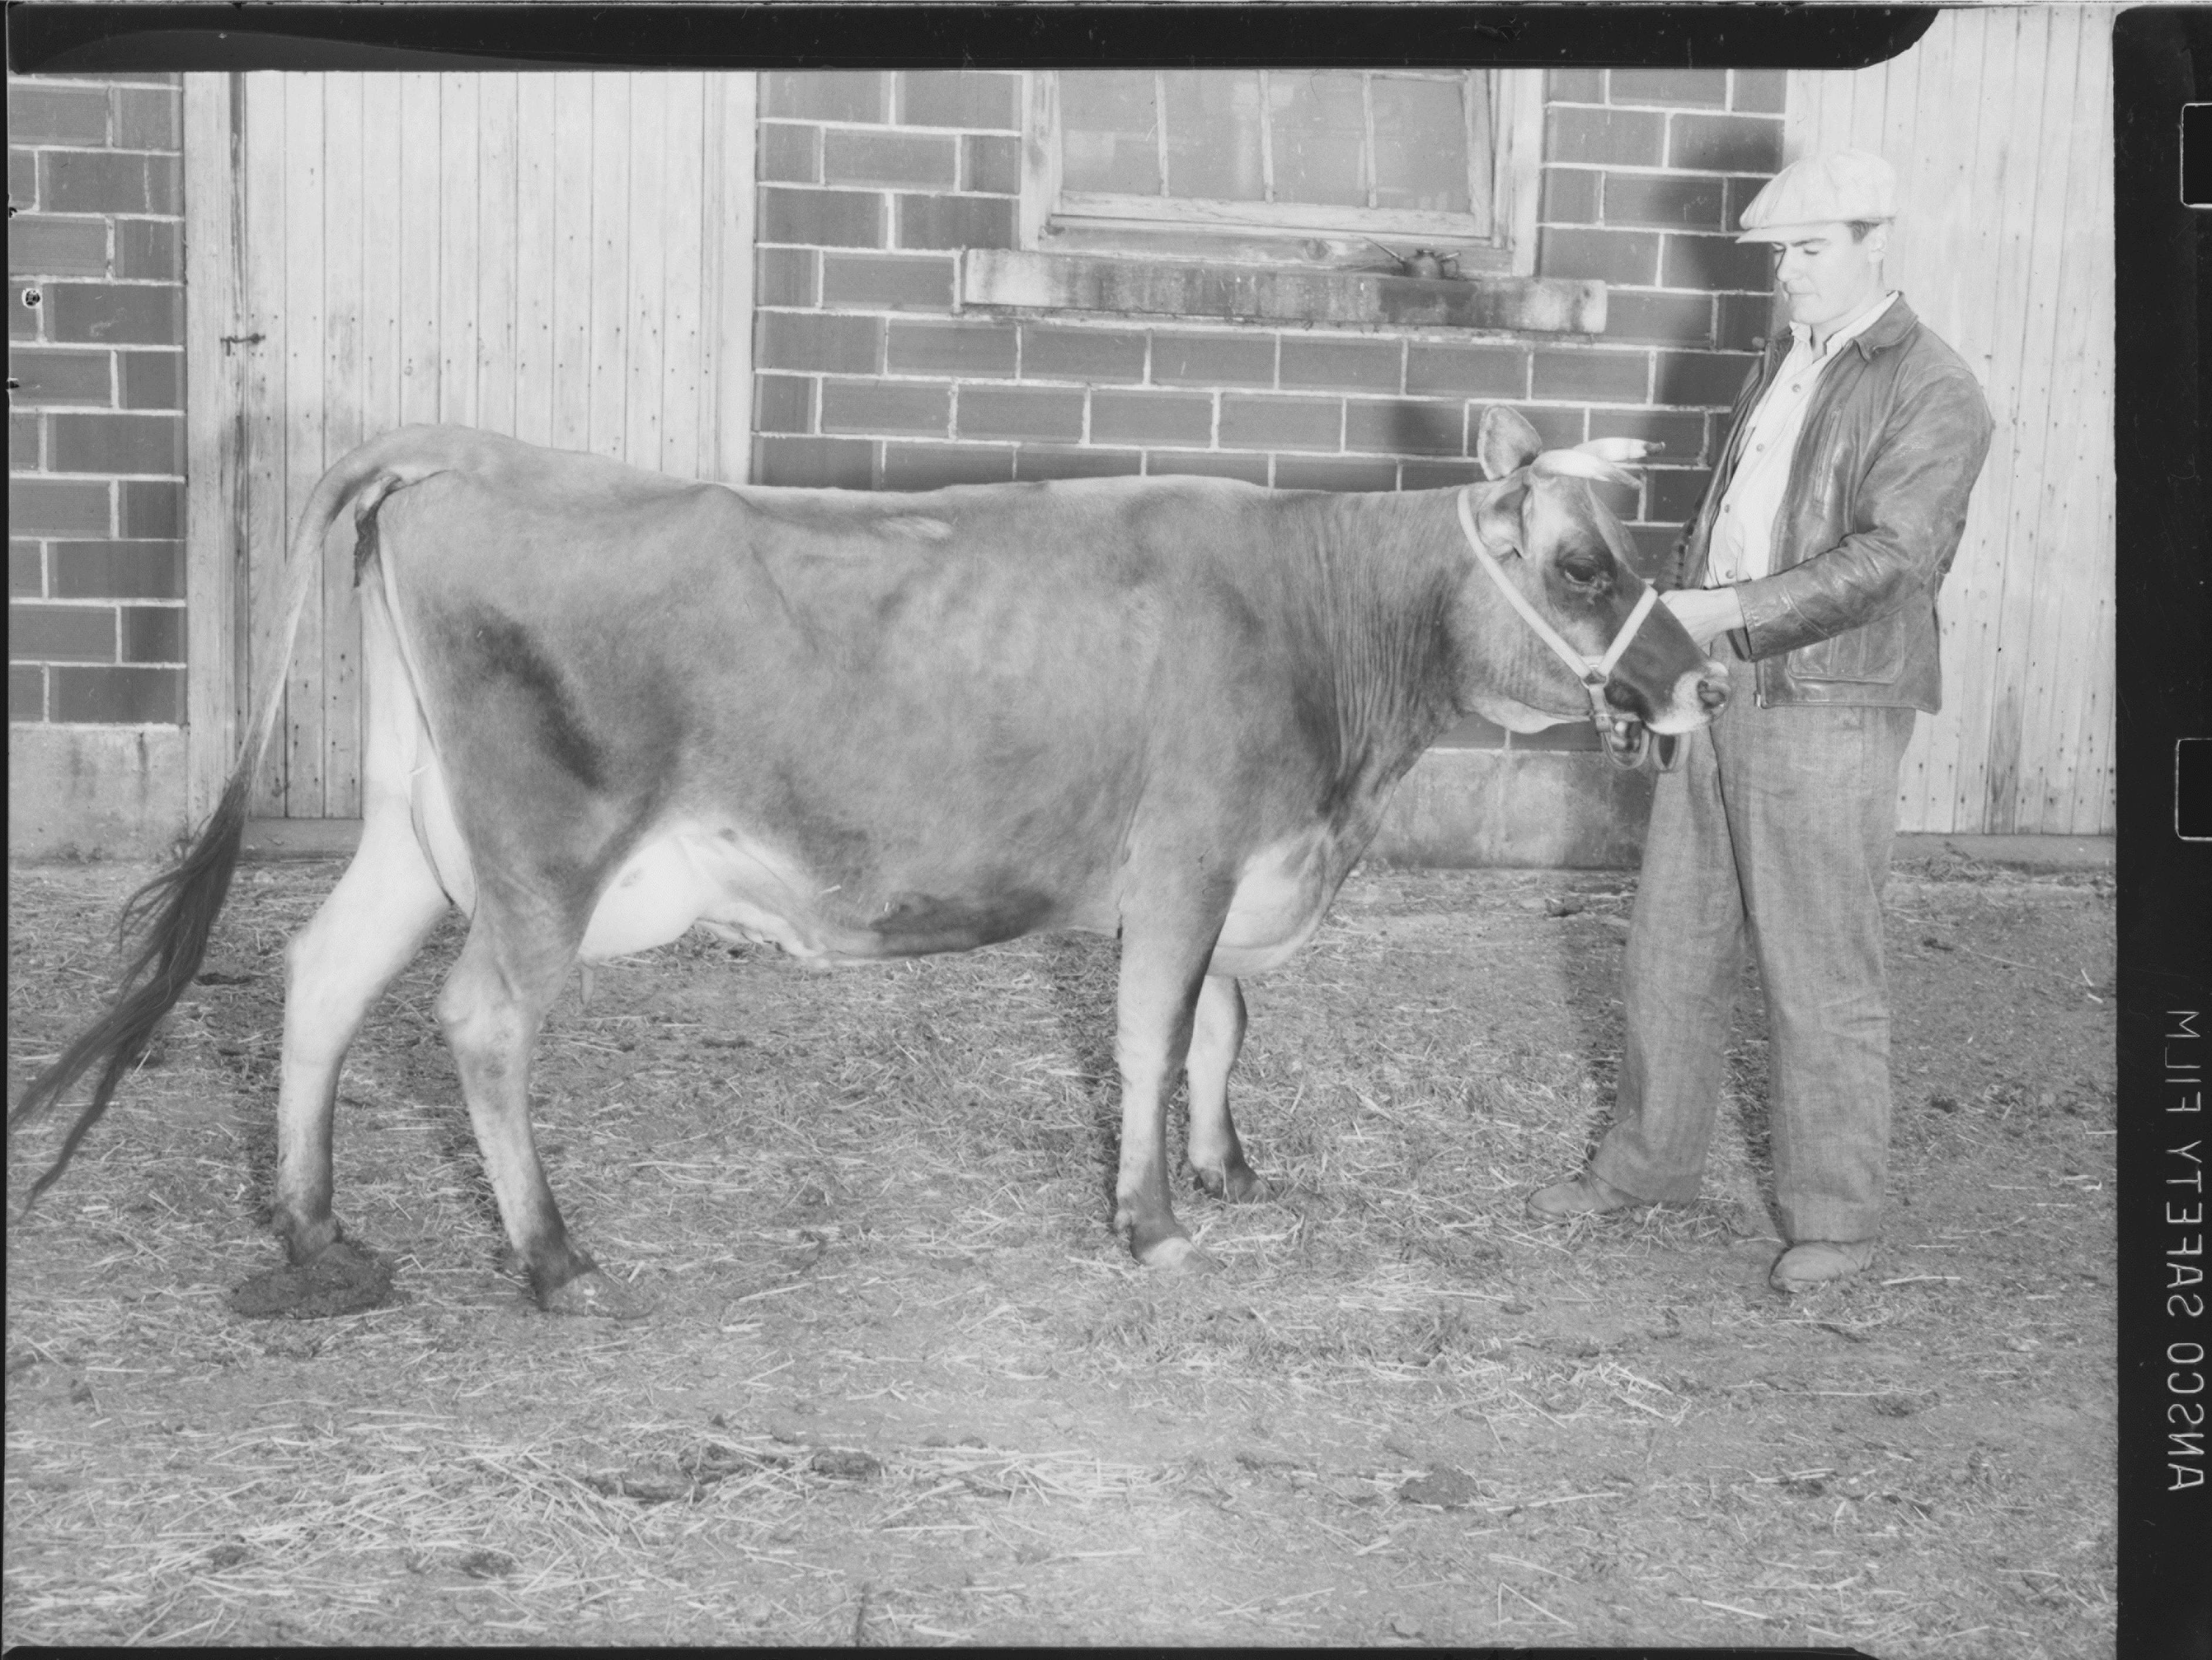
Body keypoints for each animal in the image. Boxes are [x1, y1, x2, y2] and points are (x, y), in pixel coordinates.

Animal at [17, 402, 1725, 1308]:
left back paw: (316, 1226)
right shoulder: (1186, 858)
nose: (1693, 679)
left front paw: (1227, 1166)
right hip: (542, 853)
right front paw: (1152, 1220)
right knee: (478, 1021)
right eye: (1580, 565)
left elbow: (1223, 1025)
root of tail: (457, 457)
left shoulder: (1231, 864)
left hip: (414, 827)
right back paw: (555, 1257)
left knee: (319, 974)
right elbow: (1157, 1031)